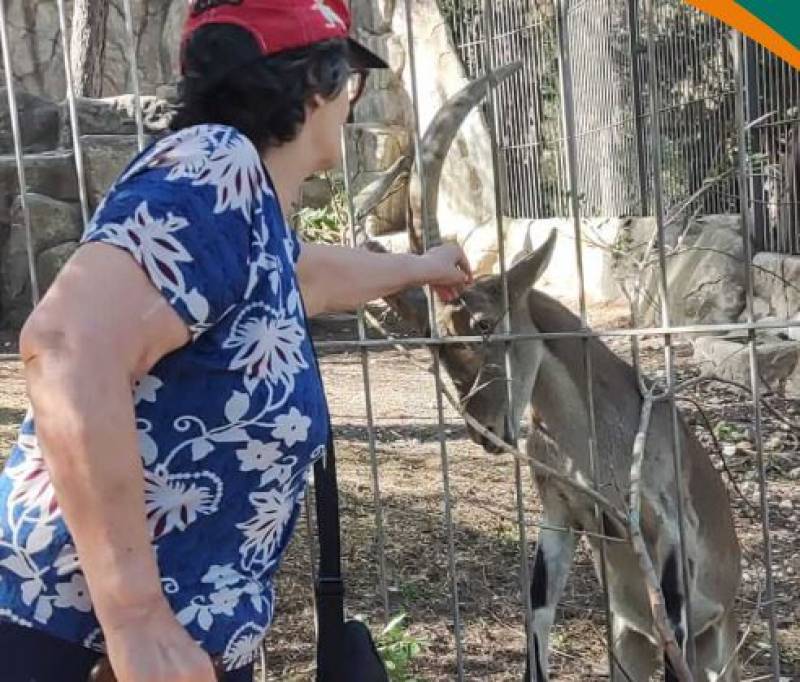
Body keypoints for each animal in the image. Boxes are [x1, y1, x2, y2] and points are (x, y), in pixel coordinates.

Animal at [362, 67, 744, 676]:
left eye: (486, 322)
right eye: (435, 343)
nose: (485, 430)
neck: (596, 444)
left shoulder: (669, 531)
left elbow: (673, 633)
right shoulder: (561, 510)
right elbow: (538, 612)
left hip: (718, 642)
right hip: (626, 639)